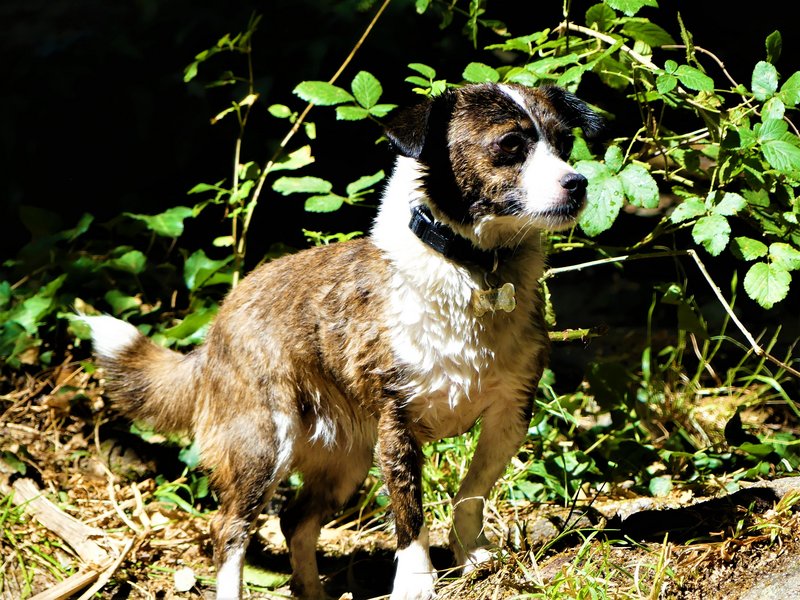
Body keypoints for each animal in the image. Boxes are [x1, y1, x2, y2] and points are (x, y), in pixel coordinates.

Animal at [83, 82, 600, 596]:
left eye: (564, 143)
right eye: (510, 145)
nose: (579, 183)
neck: (473, 267)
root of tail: (217, 327)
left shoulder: (509, 415)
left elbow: (471, 491)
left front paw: (471, 552)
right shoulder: (397, 427)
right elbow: (410, 517)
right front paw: (416, 583)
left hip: (344, 460)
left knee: (295, 521)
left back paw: (312, 590)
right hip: (263, 445)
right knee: (229, 530)